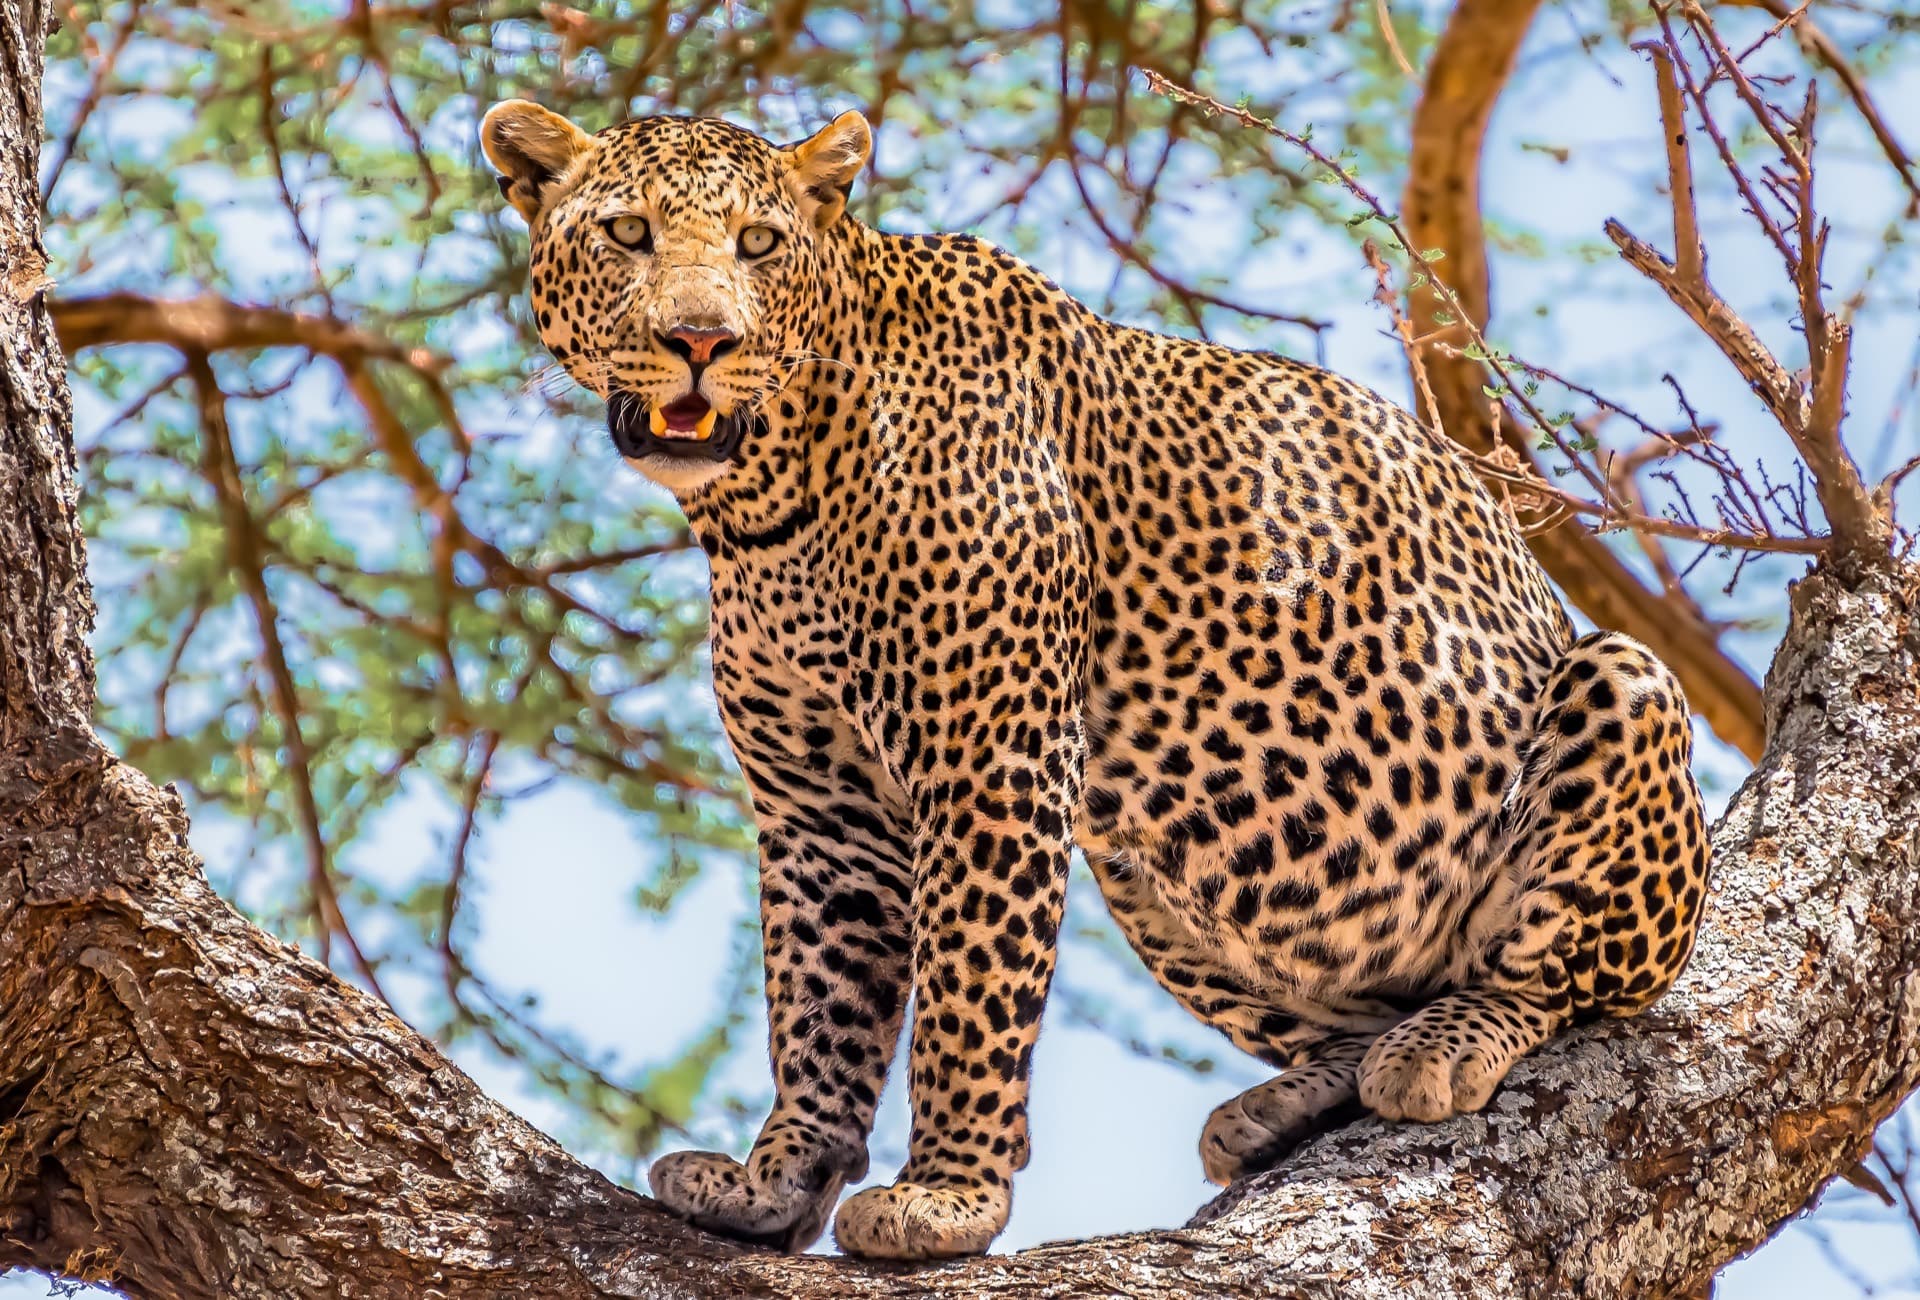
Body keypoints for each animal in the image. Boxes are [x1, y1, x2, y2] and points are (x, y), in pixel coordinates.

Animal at [482, 100, 1711, 1262]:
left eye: (759, 243)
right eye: (629, 234)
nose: (700, 337)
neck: (766, 500)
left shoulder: (994, 761)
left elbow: (968, 994)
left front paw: (948, 1199)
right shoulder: (821, 810)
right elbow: (819, 1003)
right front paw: (775, 1180)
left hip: (1622, 689)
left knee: (1561, 978)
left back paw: (1447, 1041)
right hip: (1153, 864)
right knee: (1347, 1019)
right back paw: (1287, 1104)